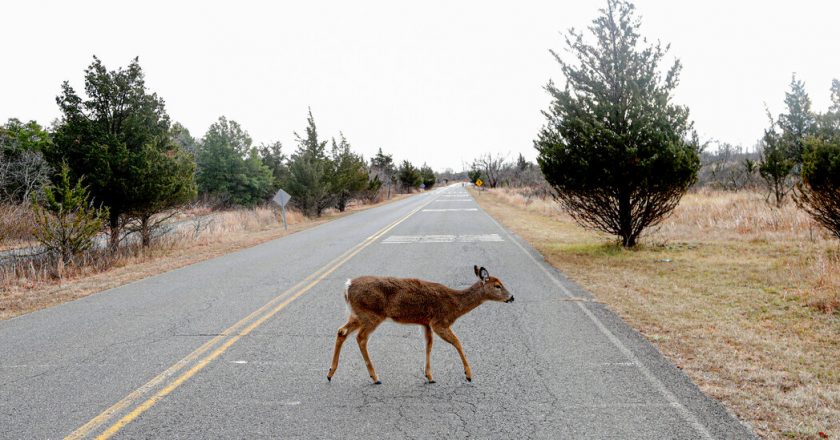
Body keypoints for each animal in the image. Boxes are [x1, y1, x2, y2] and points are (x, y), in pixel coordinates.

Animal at [326, 264, 512, 384]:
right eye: (497, 285)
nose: (512, 297)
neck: (455, 305)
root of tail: (347, 286)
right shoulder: (439, 321)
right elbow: (457, 342)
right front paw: (468, 374)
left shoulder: (426, 323)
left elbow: (428, 345)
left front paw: (429, 376)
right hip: (372, 315)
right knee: (361, 338)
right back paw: (375, 377)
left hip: (358, 315)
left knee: (341, 331)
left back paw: (330, 373)